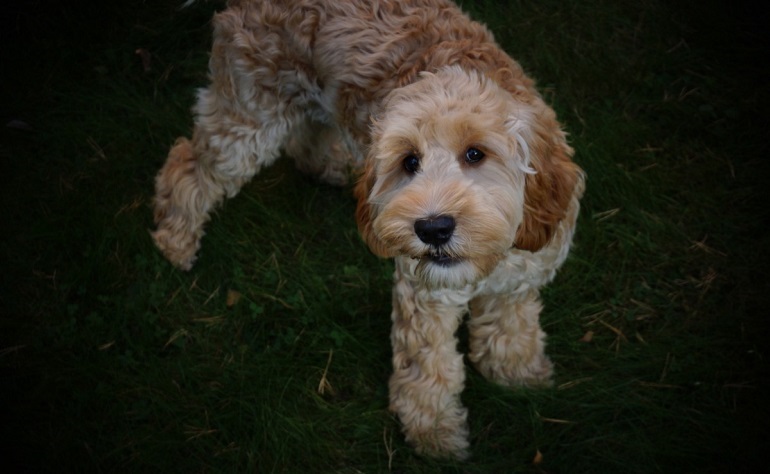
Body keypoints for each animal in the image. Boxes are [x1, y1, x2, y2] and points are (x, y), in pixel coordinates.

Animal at [152, 0, 584, 460]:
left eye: (475, 153)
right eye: (409, 162)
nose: (433, 228)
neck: (491, 257)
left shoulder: (520, 280)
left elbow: (511, 326)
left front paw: (518, 372)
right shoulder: (425, 297)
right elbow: (430, 370)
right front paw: (434, 433)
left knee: (305, 137)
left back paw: (331, 167)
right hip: (248, 119)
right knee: (189, 165)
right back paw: (175, 239)